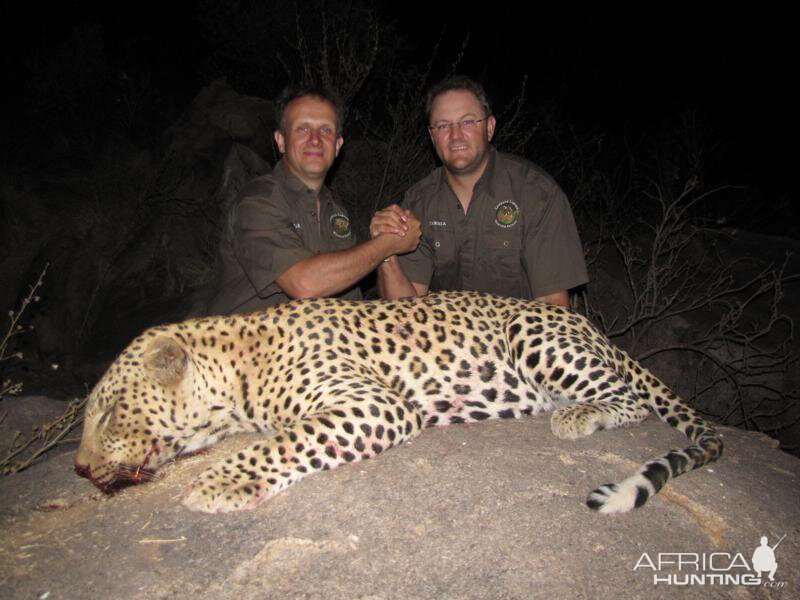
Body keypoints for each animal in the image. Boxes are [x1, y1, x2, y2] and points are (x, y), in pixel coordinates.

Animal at [75, 288, 724, 512]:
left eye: (107, 411)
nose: (78, 468)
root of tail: (596, 329)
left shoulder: (373, 403)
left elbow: (285, 441)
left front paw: (220, 483)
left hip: (534, 335)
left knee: (631, 400)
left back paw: (575, 416)